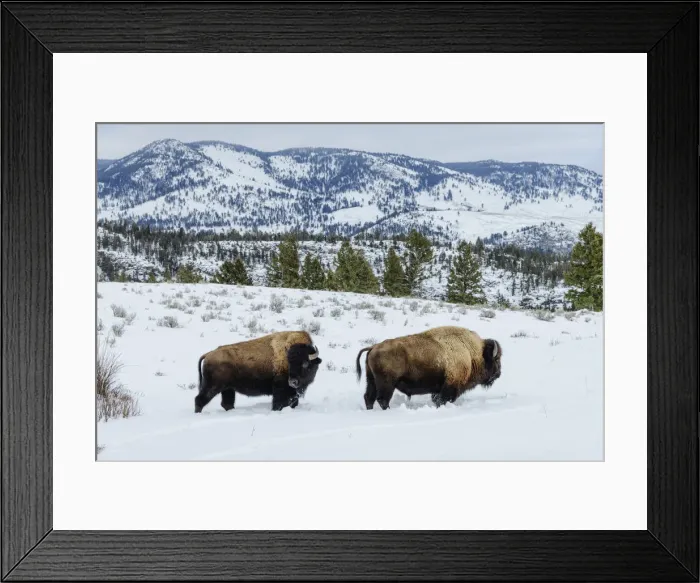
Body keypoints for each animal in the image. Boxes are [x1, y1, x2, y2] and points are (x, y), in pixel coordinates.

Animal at [356, 325, 502, 410]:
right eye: (497, 359)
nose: (499, 374)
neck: (472, 353)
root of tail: (373, 347)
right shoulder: (450, 386)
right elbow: (443, 399)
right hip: (387, 383)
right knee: (382, 399)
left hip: (371, 380)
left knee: (369, 397)